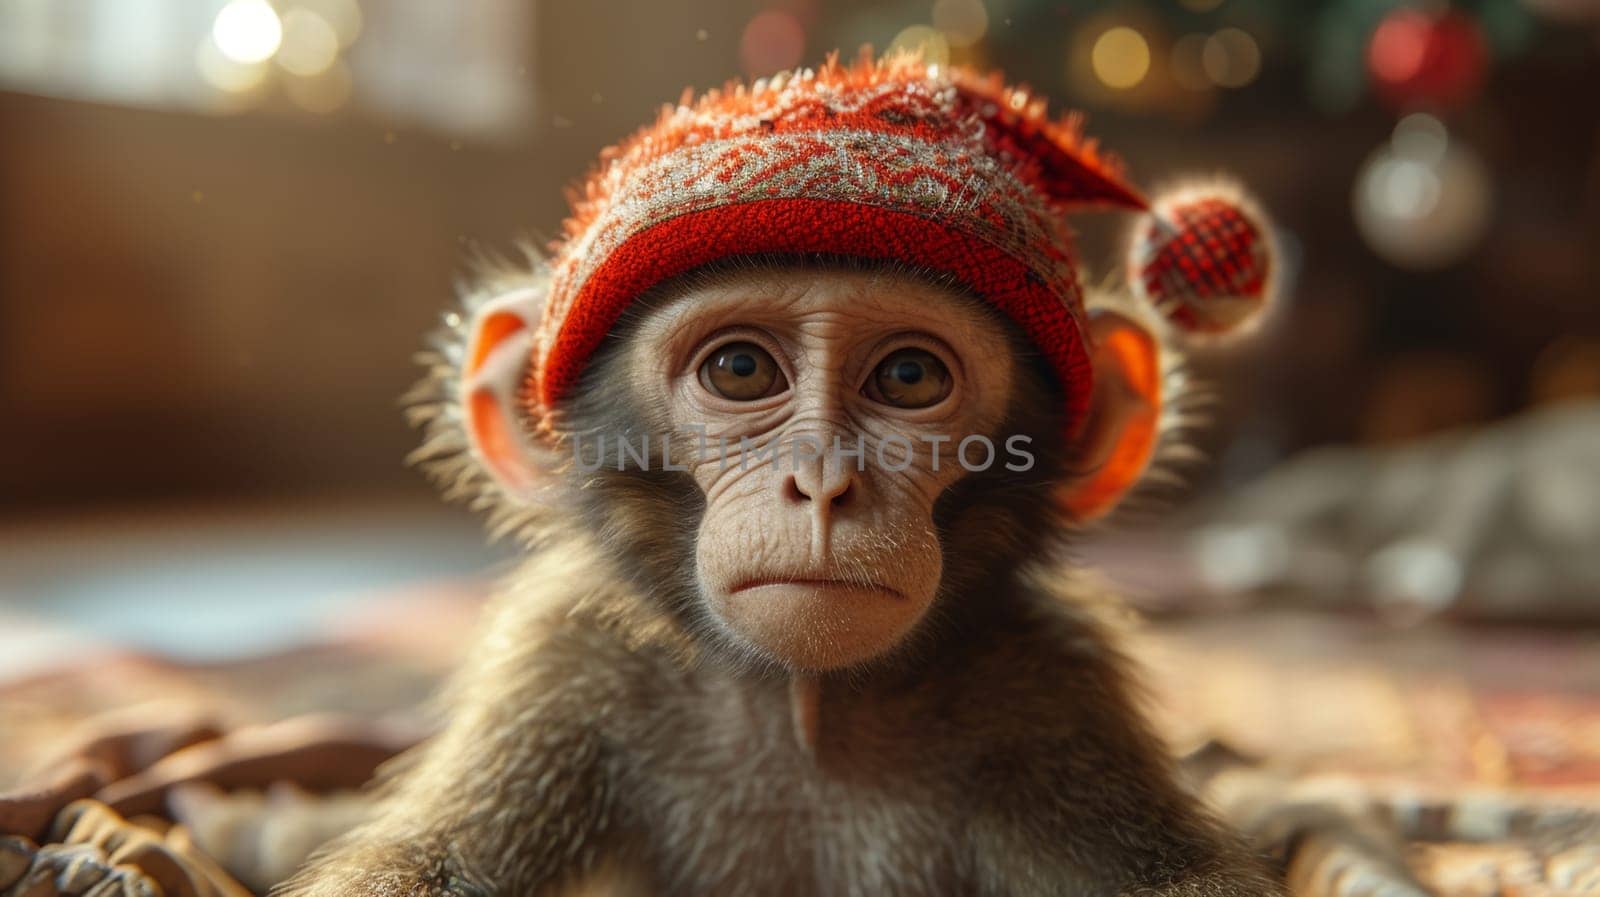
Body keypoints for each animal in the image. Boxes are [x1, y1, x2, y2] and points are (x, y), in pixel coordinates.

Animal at [284, 55, 1286, 895]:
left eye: (909, 377)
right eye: (740, 369)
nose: (823, 484)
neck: (804, 707)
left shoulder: (1052, 689)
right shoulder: (564, 669)